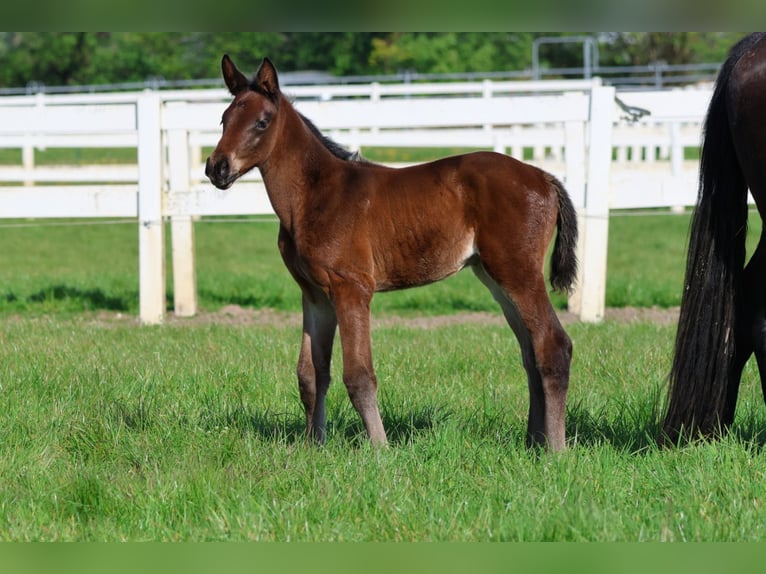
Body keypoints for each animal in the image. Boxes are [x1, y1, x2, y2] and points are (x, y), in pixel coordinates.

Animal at [207, 56, 580, 452]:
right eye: (224, 119)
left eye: (261, 122)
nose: (216, 167)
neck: (314, 196)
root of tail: (544, 177)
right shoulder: (315, 295)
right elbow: (311, 374)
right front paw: (313, 446)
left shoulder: (352, 288)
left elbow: (358, 375)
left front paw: (379, 449)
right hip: (495, 277)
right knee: (531, 352)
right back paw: (534, 442)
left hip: (518, 272)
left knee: (554, 346)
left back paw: (555, 449)